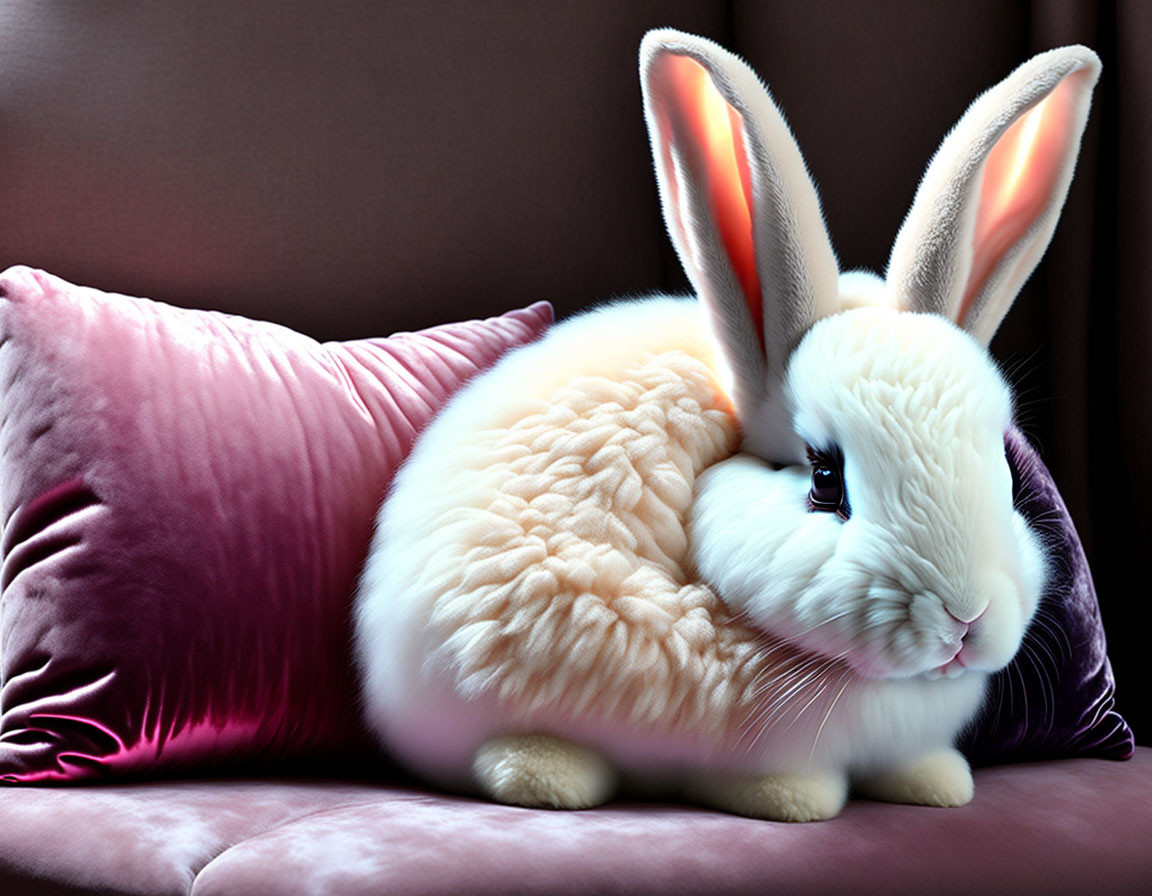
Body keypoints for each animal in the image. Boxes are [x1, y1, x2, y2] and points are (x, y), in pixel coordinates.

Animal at [354, 31, 1101, 819]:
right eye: (825, 480)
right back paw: (548, 776)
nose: (964, 619)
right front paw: (795, 799)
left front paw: (937, 786)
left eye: (1003, 472)